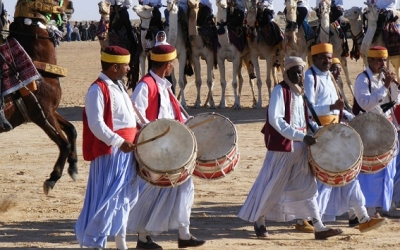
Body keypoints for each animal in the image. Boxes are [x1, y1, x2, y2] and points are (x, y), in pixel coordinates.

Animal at [1, 0, 77, 194]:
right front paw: (52, 178)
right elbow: (63, 143)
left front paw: (73, 166)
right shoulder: (41, 114)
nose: (71, 5)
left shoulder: (50, 109)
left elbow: (72, 130)